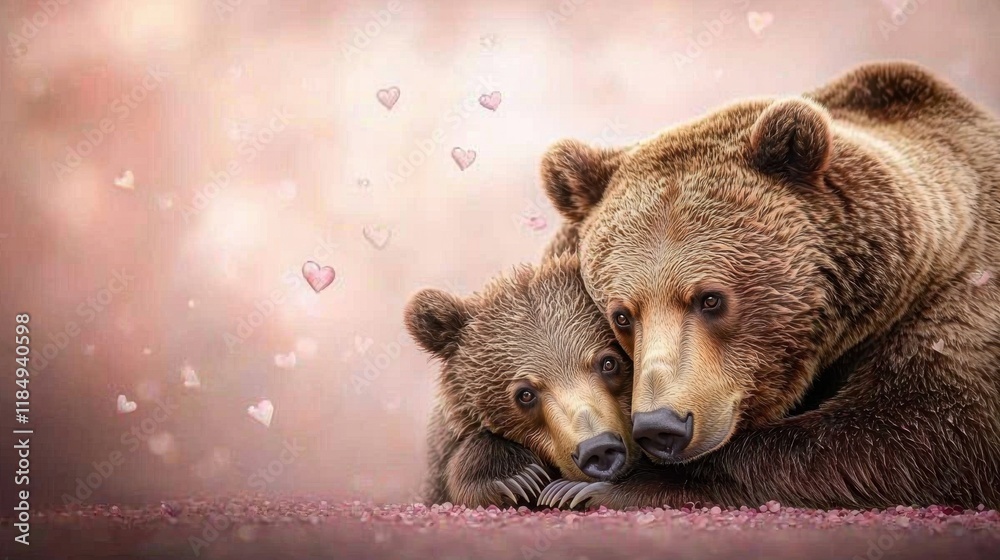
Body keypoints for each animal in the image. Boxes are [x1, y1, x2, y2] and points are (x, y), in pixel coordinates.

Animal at [533, 61, 1000, 510]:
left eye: (710, 299)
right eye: (622, 315)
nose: (661, 426)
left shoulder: (958, 306)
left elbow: (921, 426)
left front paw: (605, 485)